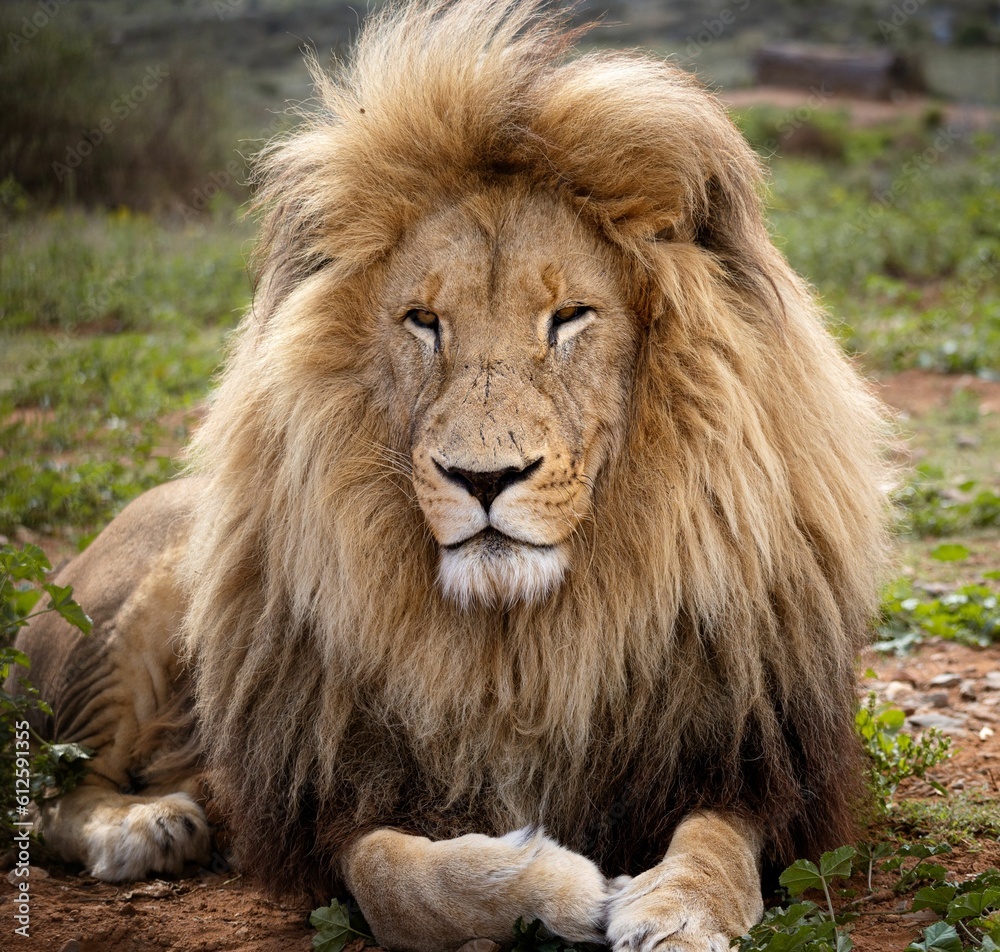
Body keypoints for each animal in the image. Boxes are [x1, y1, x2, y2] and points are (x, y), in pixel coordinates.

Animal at [11, 0, 896, 948]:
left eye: (570, 316)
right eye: (423, 321)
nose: (484, 479)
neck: (519, 649)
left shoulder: (753, 755)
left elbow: (714, 843)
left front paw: (675, 911)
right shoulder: (333, 797)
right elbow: (404, 876)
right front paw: (561, 880)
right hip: (123, 620)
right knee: (50, 791)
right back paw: (150, 827)